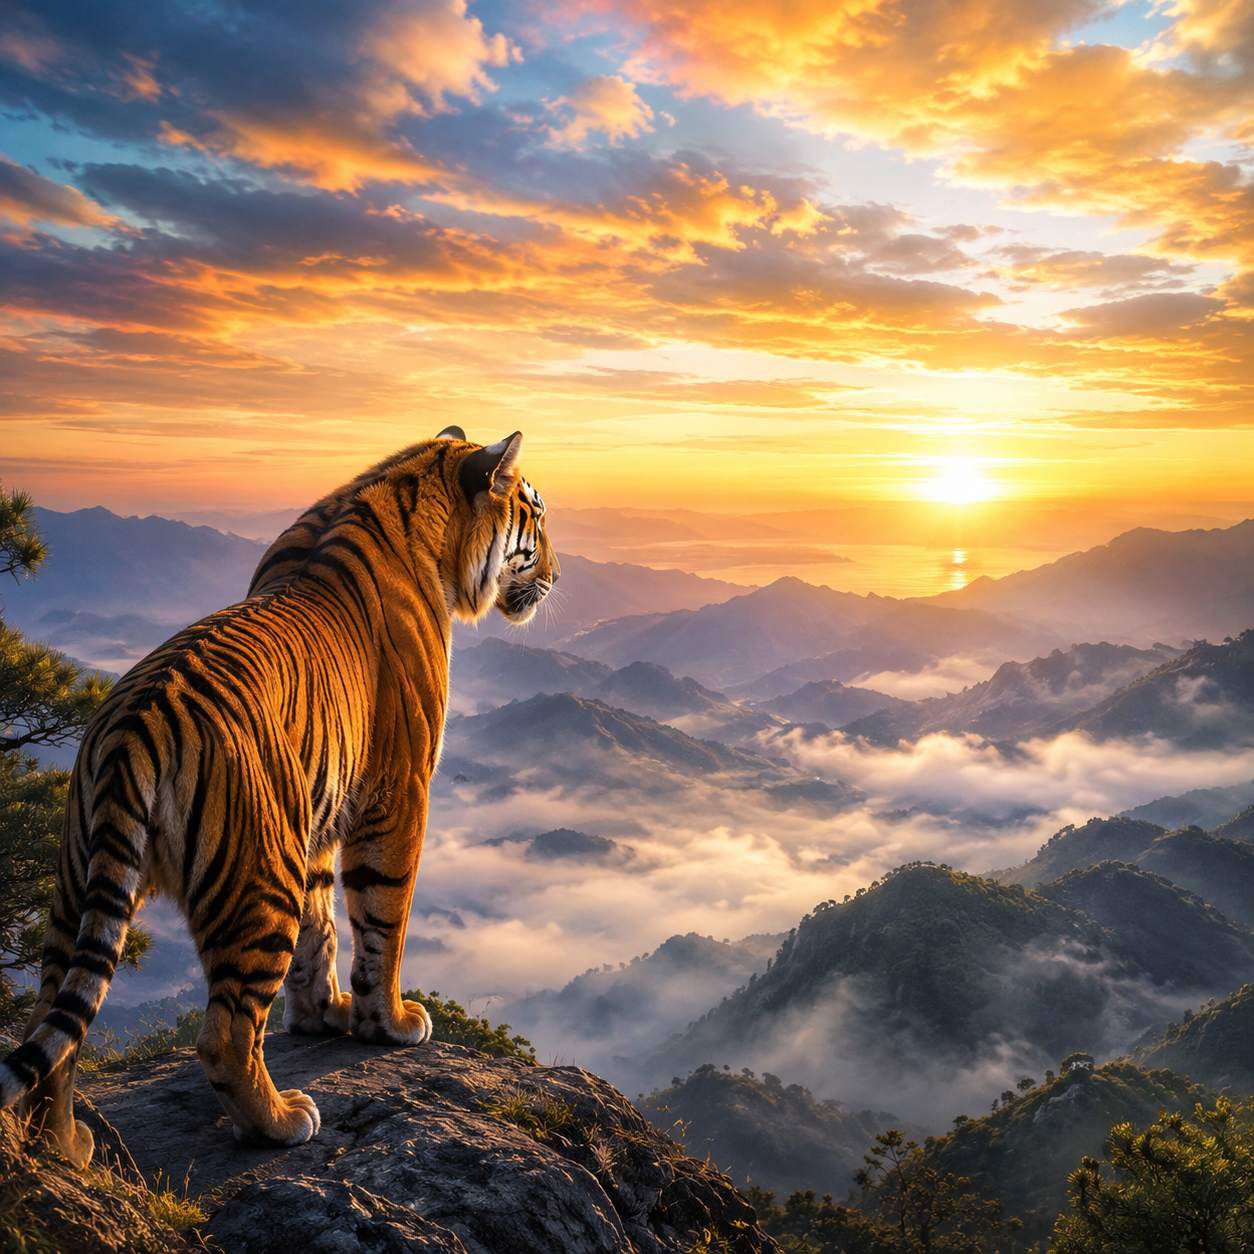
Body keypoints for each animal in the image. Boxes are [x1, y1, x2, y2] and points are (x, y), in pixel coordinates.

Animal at [0, 427, 558, 1166]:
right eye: (536, 516)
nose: (559, 575)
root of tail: (133, 725)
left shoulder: (318, 811)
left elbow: (322, 928)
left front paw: (323, 1016)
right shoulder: (398, 793)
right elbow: (383, 919)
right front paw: (389, 1021)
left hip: (76, 886)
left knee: (53, 1021)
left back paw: (66, 1148)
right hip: (258, 880)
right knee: (225, 1035)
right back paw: (281, 1121)